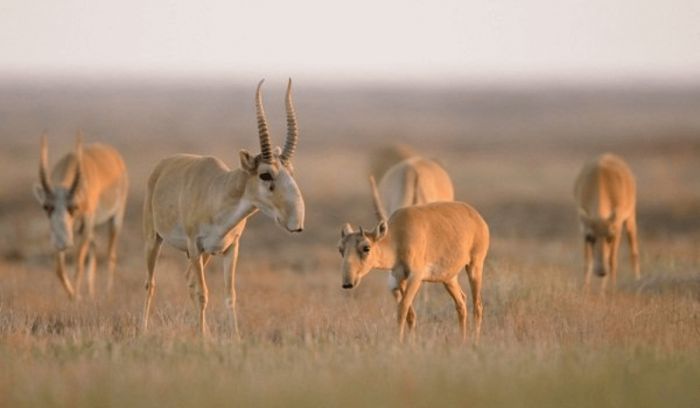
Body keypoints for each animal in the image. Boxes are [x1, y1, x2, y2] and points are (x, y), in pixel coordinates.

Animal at [33, 133, 129, 300]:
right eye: (46, 207)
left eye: (74, 207)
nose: (63, 243)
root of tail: (115, 156)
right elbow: (59, 268)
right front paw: (73, 295)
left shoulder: (87, 224)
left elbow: (78, 263)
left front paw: (77, 296)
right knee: (94, 247)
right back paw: (92, 293)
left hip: (115, 218)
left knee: (111, 254)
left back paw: (107, 293)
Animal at [142, 78, 304, 336]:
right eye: (265, 174)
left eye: (291, 171)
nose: (296, 222)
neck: (218, 192)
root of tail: (162, 166)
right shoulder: (195, 246)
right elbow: (203, 293)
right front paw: (203, 339)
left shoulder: (230, 249)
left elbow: (230, 296)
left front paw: (233, 338)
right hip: (154, 240)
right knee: (151, 282)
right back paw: (143, 329)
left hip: (205, 254)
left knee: (188, 279)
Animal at [338, 180, 490, 342]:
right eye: (340, 249)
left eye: (366, 247)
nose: (348, 283)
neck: (397, 237)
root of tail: (477, 217)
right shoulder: (400, 278)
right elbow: (410, 314)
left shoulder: (415, 277)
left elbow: (402, 308)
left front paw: (398, 341)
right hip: (448, 278)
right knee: (461, 302)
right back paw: (462, 340)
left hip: (475, 266)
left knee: (477, 305)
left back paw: (475, 340)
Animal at [576, 151, 640, 292]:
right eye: (590, 237)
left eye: (610, 237)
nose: (601, 272)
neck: (600, 182)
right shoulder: (583, 229)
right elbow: (587, 261)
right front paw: (585, 289)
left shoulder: (617, 228)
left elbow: (612, 260)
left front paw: (611, 289)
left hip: (630, 218)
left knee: (633, 251)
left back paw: (637, 280)